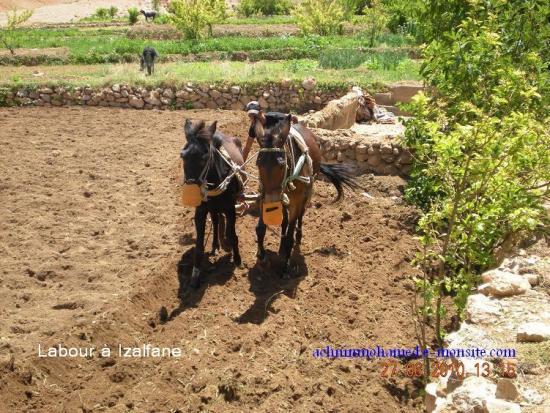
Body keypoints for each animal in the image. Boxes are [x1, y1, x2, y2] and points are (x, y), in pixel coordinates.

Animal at [181, 119, 244, 286]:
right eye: (182, 156)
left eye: (205, 157)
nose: (190, 194)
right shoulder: (201, 211)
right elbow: (198, 246)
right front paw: (195, 276)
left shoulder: (230, 209)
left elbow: (232, 234)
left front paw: (237, 260)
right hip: (212, 208)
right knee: (215, 222)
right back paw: (215, 245)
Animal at [252, 112, 360, 276]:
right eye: (258, 163)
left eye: (281, 164)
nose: (272, 201)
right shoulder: (264, 196)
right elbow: (260, 229)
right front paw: (262, 257)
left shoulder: (294, 202)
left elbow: (290, 233)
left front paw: (285, 267)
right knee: (285, 220)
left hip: (304, 197)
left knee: (299, 218)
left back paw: (297, 237)